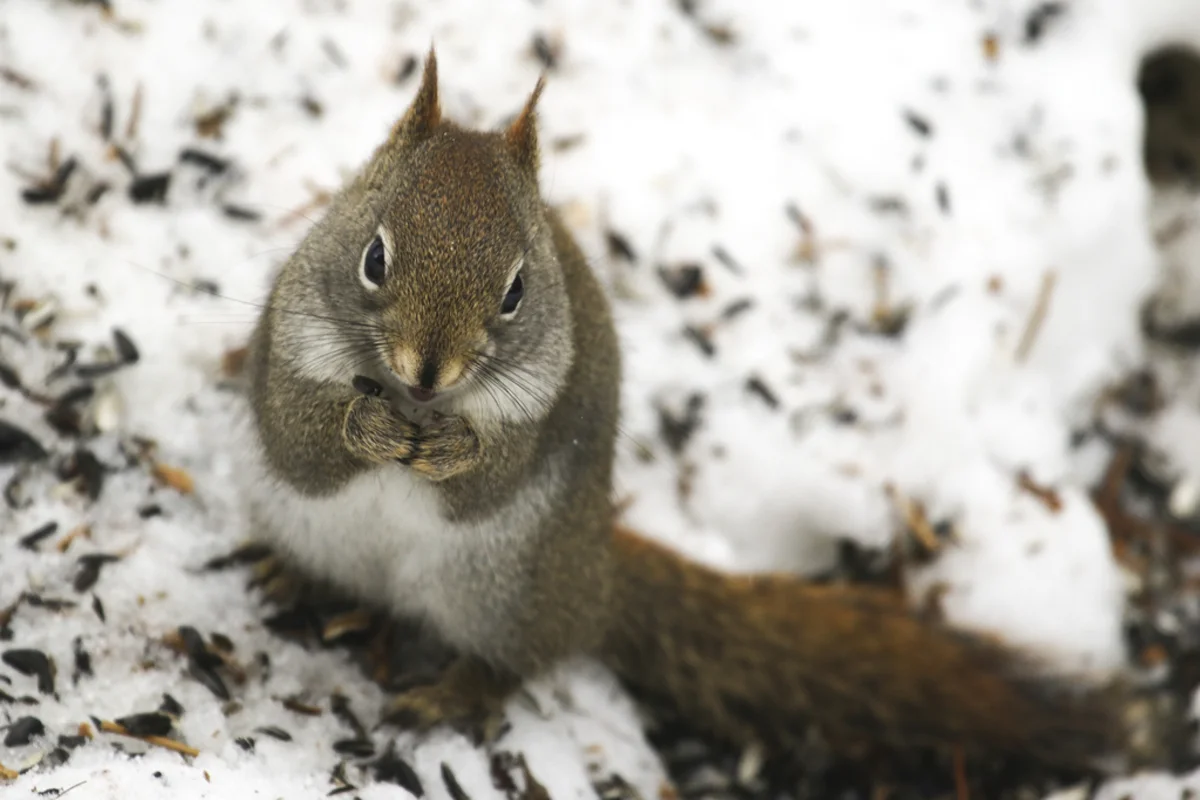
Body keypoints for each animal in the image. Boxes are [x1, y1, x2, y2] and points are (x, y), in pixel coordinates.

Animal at [238, 49, 1130, 773]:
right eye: (373, 256)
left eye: (517, 290)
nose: (427, 373)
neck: (414, 401)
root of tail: (596, 576)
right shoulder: (289, 354)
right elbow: (301, 438)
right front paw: (364, 428)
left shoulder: (536, 413)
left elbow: (489, 480)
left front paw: (457, 451)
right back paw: (291, 574)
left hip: (508, 594)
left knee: (520, 661)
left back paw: (456, 692)